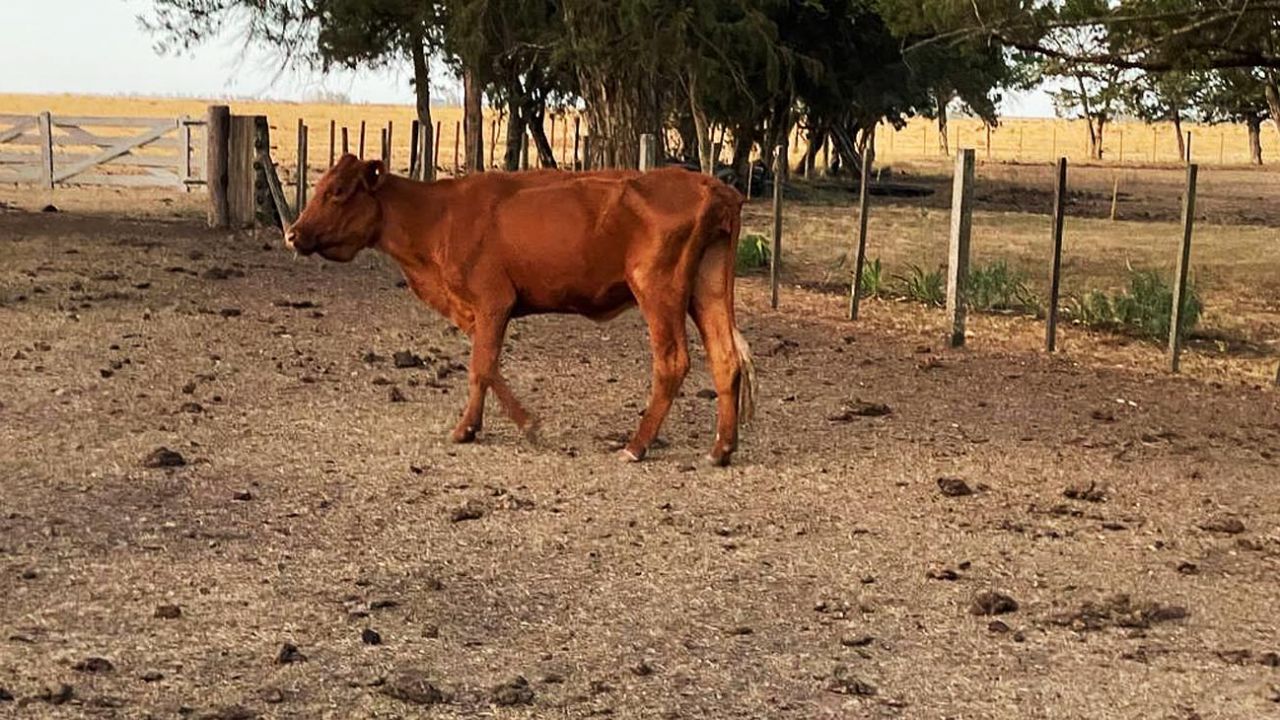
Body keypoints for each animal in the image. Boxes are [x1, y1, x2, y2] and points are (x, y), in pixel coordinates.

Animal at [285, 154, 752, 461]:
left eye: (338, 192)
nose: (293, 233)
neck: (437, 215)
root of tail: (712, 185)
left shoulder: (493, 301)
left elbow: (482, 367)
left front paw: (501, 427)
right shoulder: (480, 310)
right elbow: (485, 366)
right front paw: (484, 425)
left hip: (658, 290)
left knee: (672, 362)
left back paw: (636, 445)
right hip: (706, 289)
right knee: (725, 358)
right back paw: (721, 448)